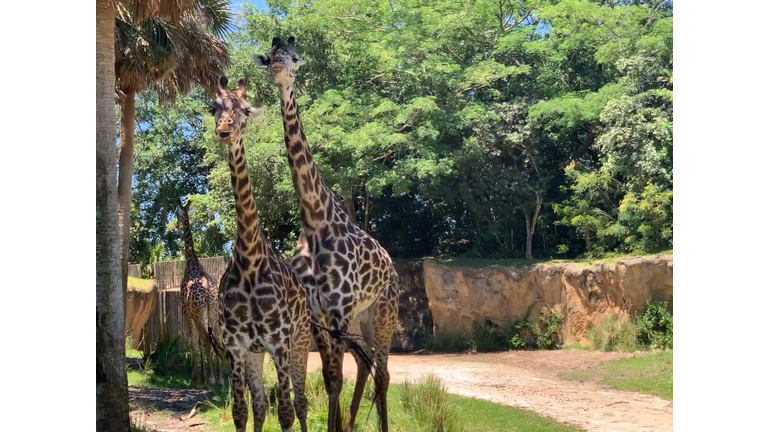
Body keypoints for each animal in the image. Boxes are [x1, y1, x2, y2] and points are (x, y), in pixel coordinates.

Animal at [207, 76, 312, 430]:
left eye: (245, 109)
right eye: (214, 108)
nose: (224, 130)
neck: (250, 260)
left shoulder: (279, 341)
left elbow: (287, 412)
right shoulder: (235, 345)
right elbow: (242, 409)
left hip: (301, 340)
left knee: (301, 402)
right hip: (257, 352)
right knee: (261, 403)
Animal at [258, 37, 402, 432]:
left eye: (294, 58)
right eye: (269, 57)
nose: (279, 70)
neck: (315, 221)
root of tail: (393, 268)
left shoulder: (337, 311)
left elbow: (337, 380)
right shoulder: (318, 316)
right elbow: (330, 380)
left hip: (383, 312)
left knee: (384, 373)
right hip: (360, 319)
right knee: (367, 365)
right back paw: (352, 423)